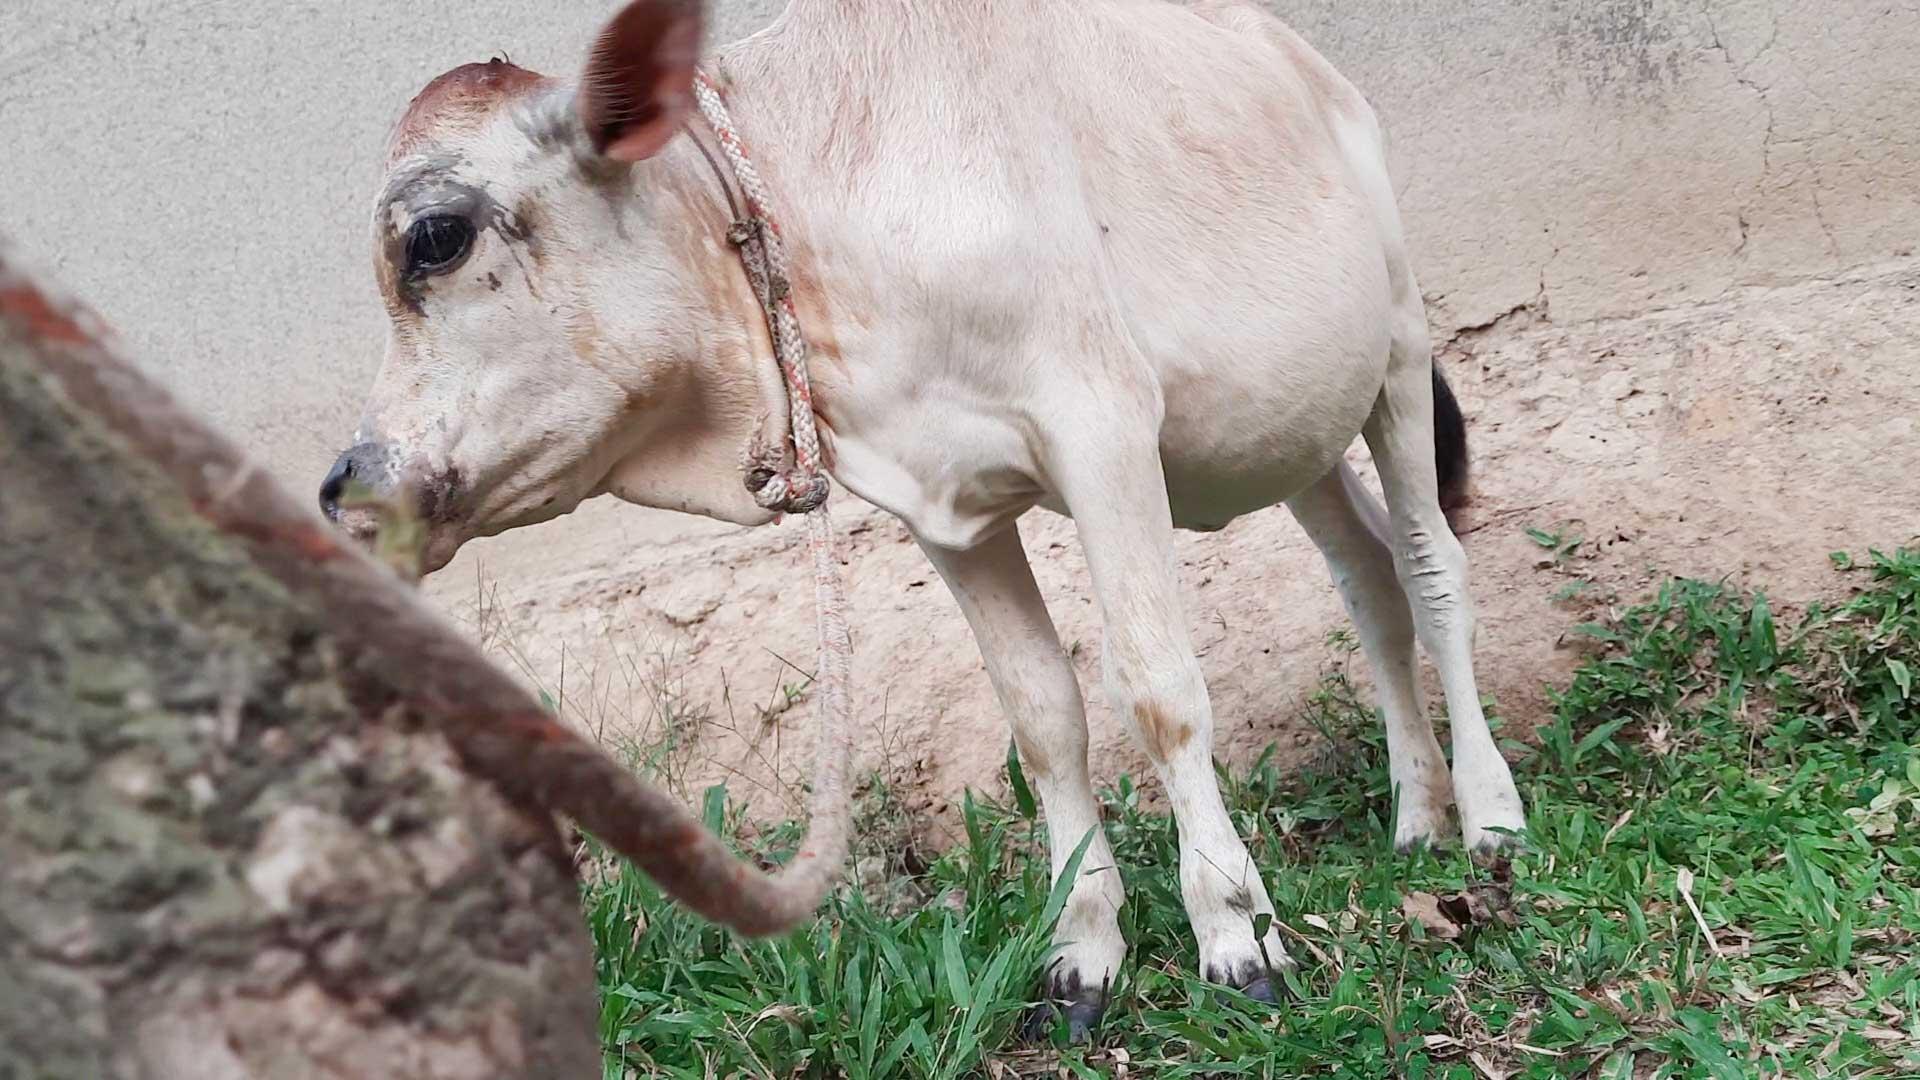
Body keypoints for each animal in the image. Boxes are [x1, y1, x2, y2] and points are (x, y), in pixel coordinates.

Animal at [326, 0, 1528, 1037]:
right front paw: (1085, 955)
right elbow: (1042, 715)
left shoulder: (1102, 429)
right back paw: (1416, 818)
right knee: (1368, 579)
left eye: (435, 238)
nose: (345, 485)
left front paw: (1236, 935)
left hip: (1399, 352)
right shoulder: (943, 510)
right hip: (1292, 430)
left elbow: (1157, 691)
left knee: (1431, 568)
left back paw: (1488, 817)